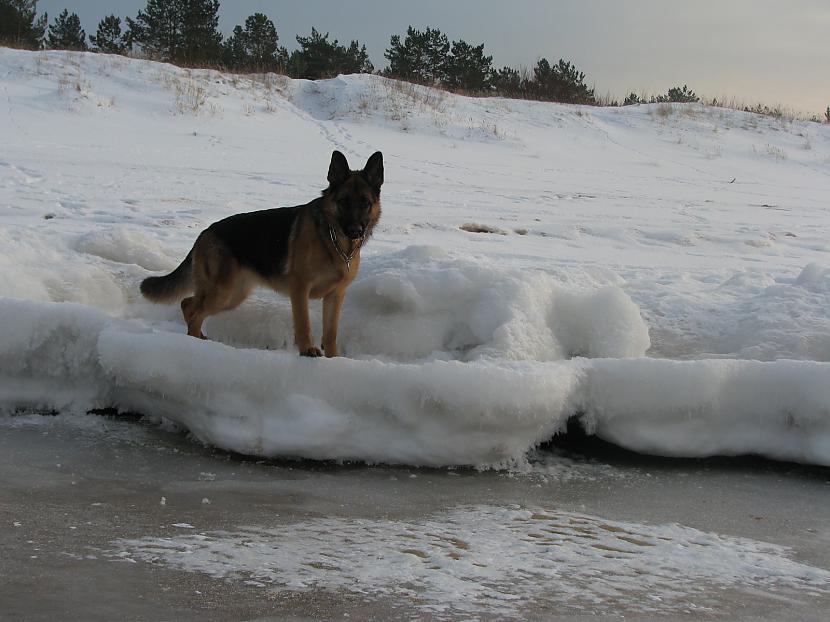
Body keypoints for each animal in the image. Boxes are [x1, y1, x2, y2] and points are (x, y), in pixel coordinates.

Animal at [141, 149, 386, 360]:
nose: (355, 230)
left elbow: (331, 332)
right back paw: (193, 344)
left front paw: (334, 358)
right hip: (222, 292)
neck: (333, 240)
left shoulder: (335, 295)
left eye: (365, 203)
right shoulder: (300, 288)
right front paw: (307, 350)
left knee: (188, 305)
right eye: (344, 202)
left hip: (233, 295)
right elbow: (304, 323)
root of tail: (205, 232)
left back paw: (198, 337)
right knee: (194, 312)